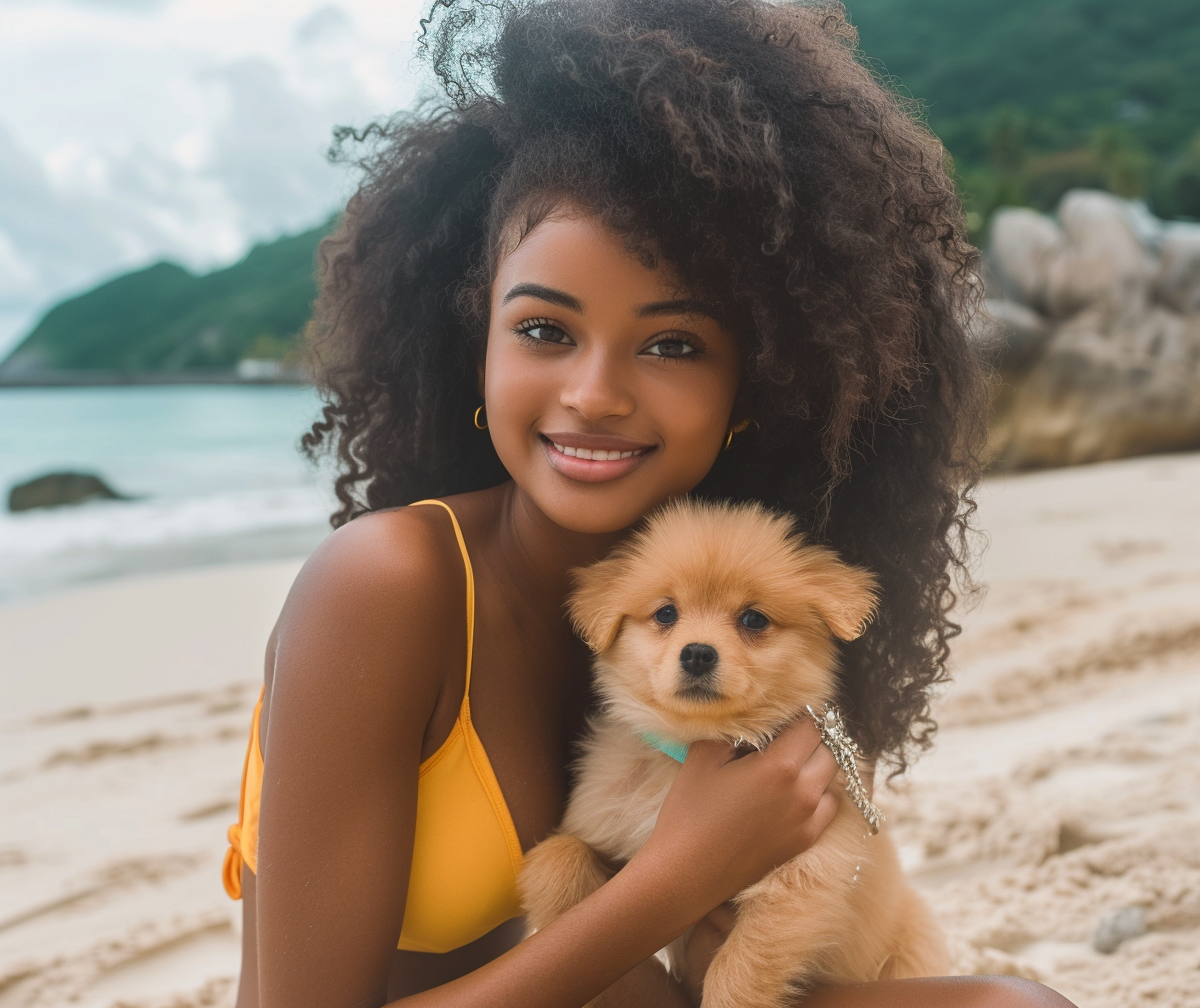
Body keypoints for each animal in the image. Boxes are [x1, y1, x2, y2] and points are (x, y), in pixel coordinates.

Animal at [520, 499, 940, 1003]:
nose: (698, 653)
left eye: (753, 619)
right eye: (666, 613)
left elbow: (742, 964)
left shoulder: (804, 872)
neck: (689, 749)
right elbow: (558, 856)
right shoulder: (601, 825)